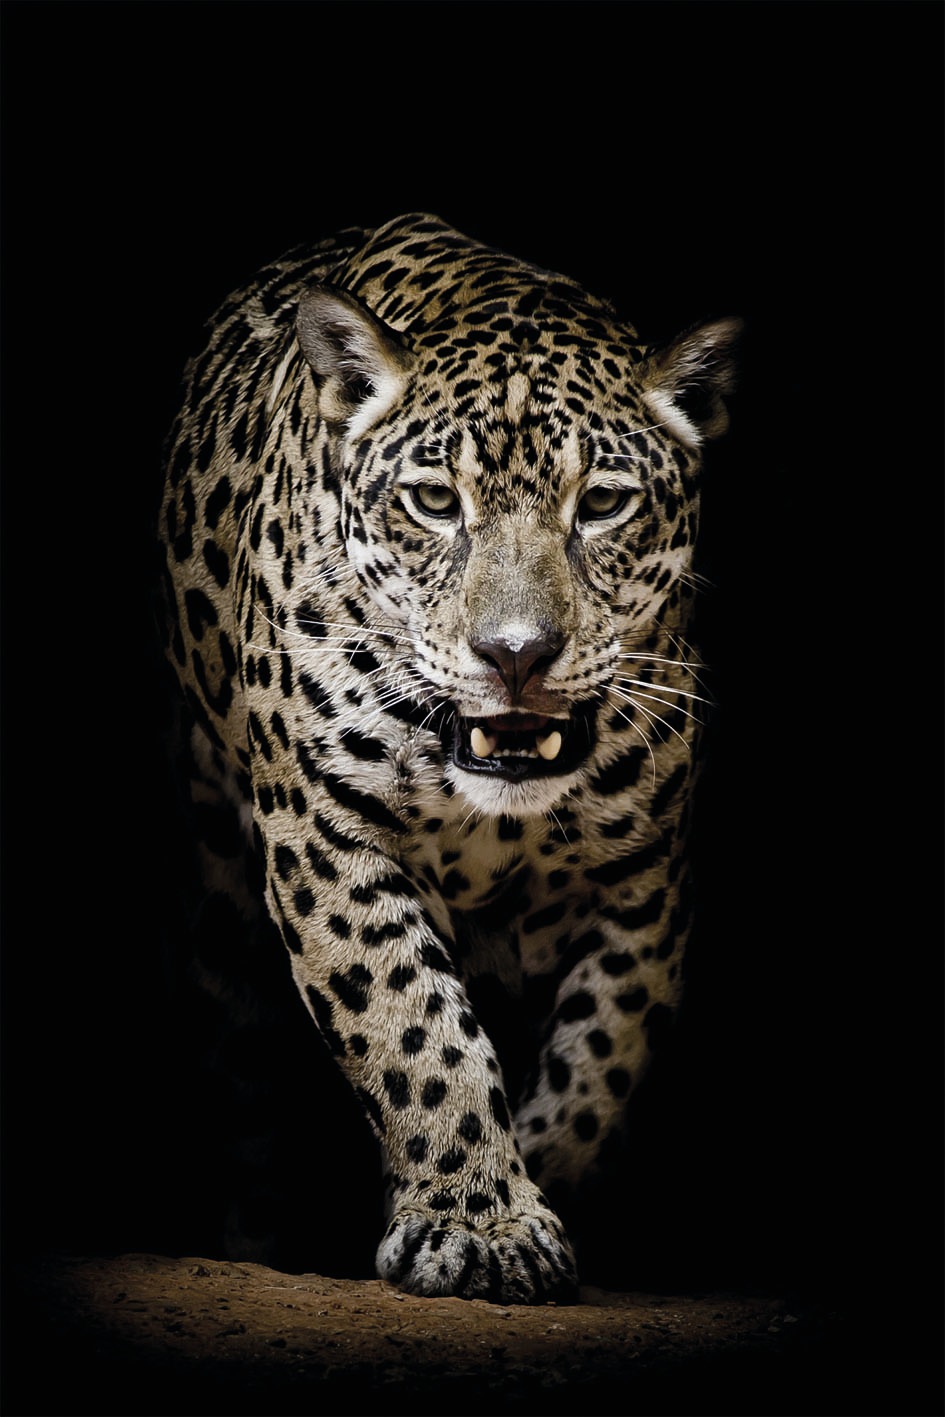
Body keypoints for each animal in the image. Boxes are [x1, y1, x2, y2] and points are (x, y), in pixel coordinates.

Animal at [157, 212, 740, 1305]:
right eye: (432, 499)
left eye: (602, 503)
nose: (515, 653)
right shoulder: (327, 834)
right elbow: (413, 1027)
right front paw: (480, 1222)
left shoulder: (644, 879)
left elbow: (602, 1056)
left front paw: (531, 1188)